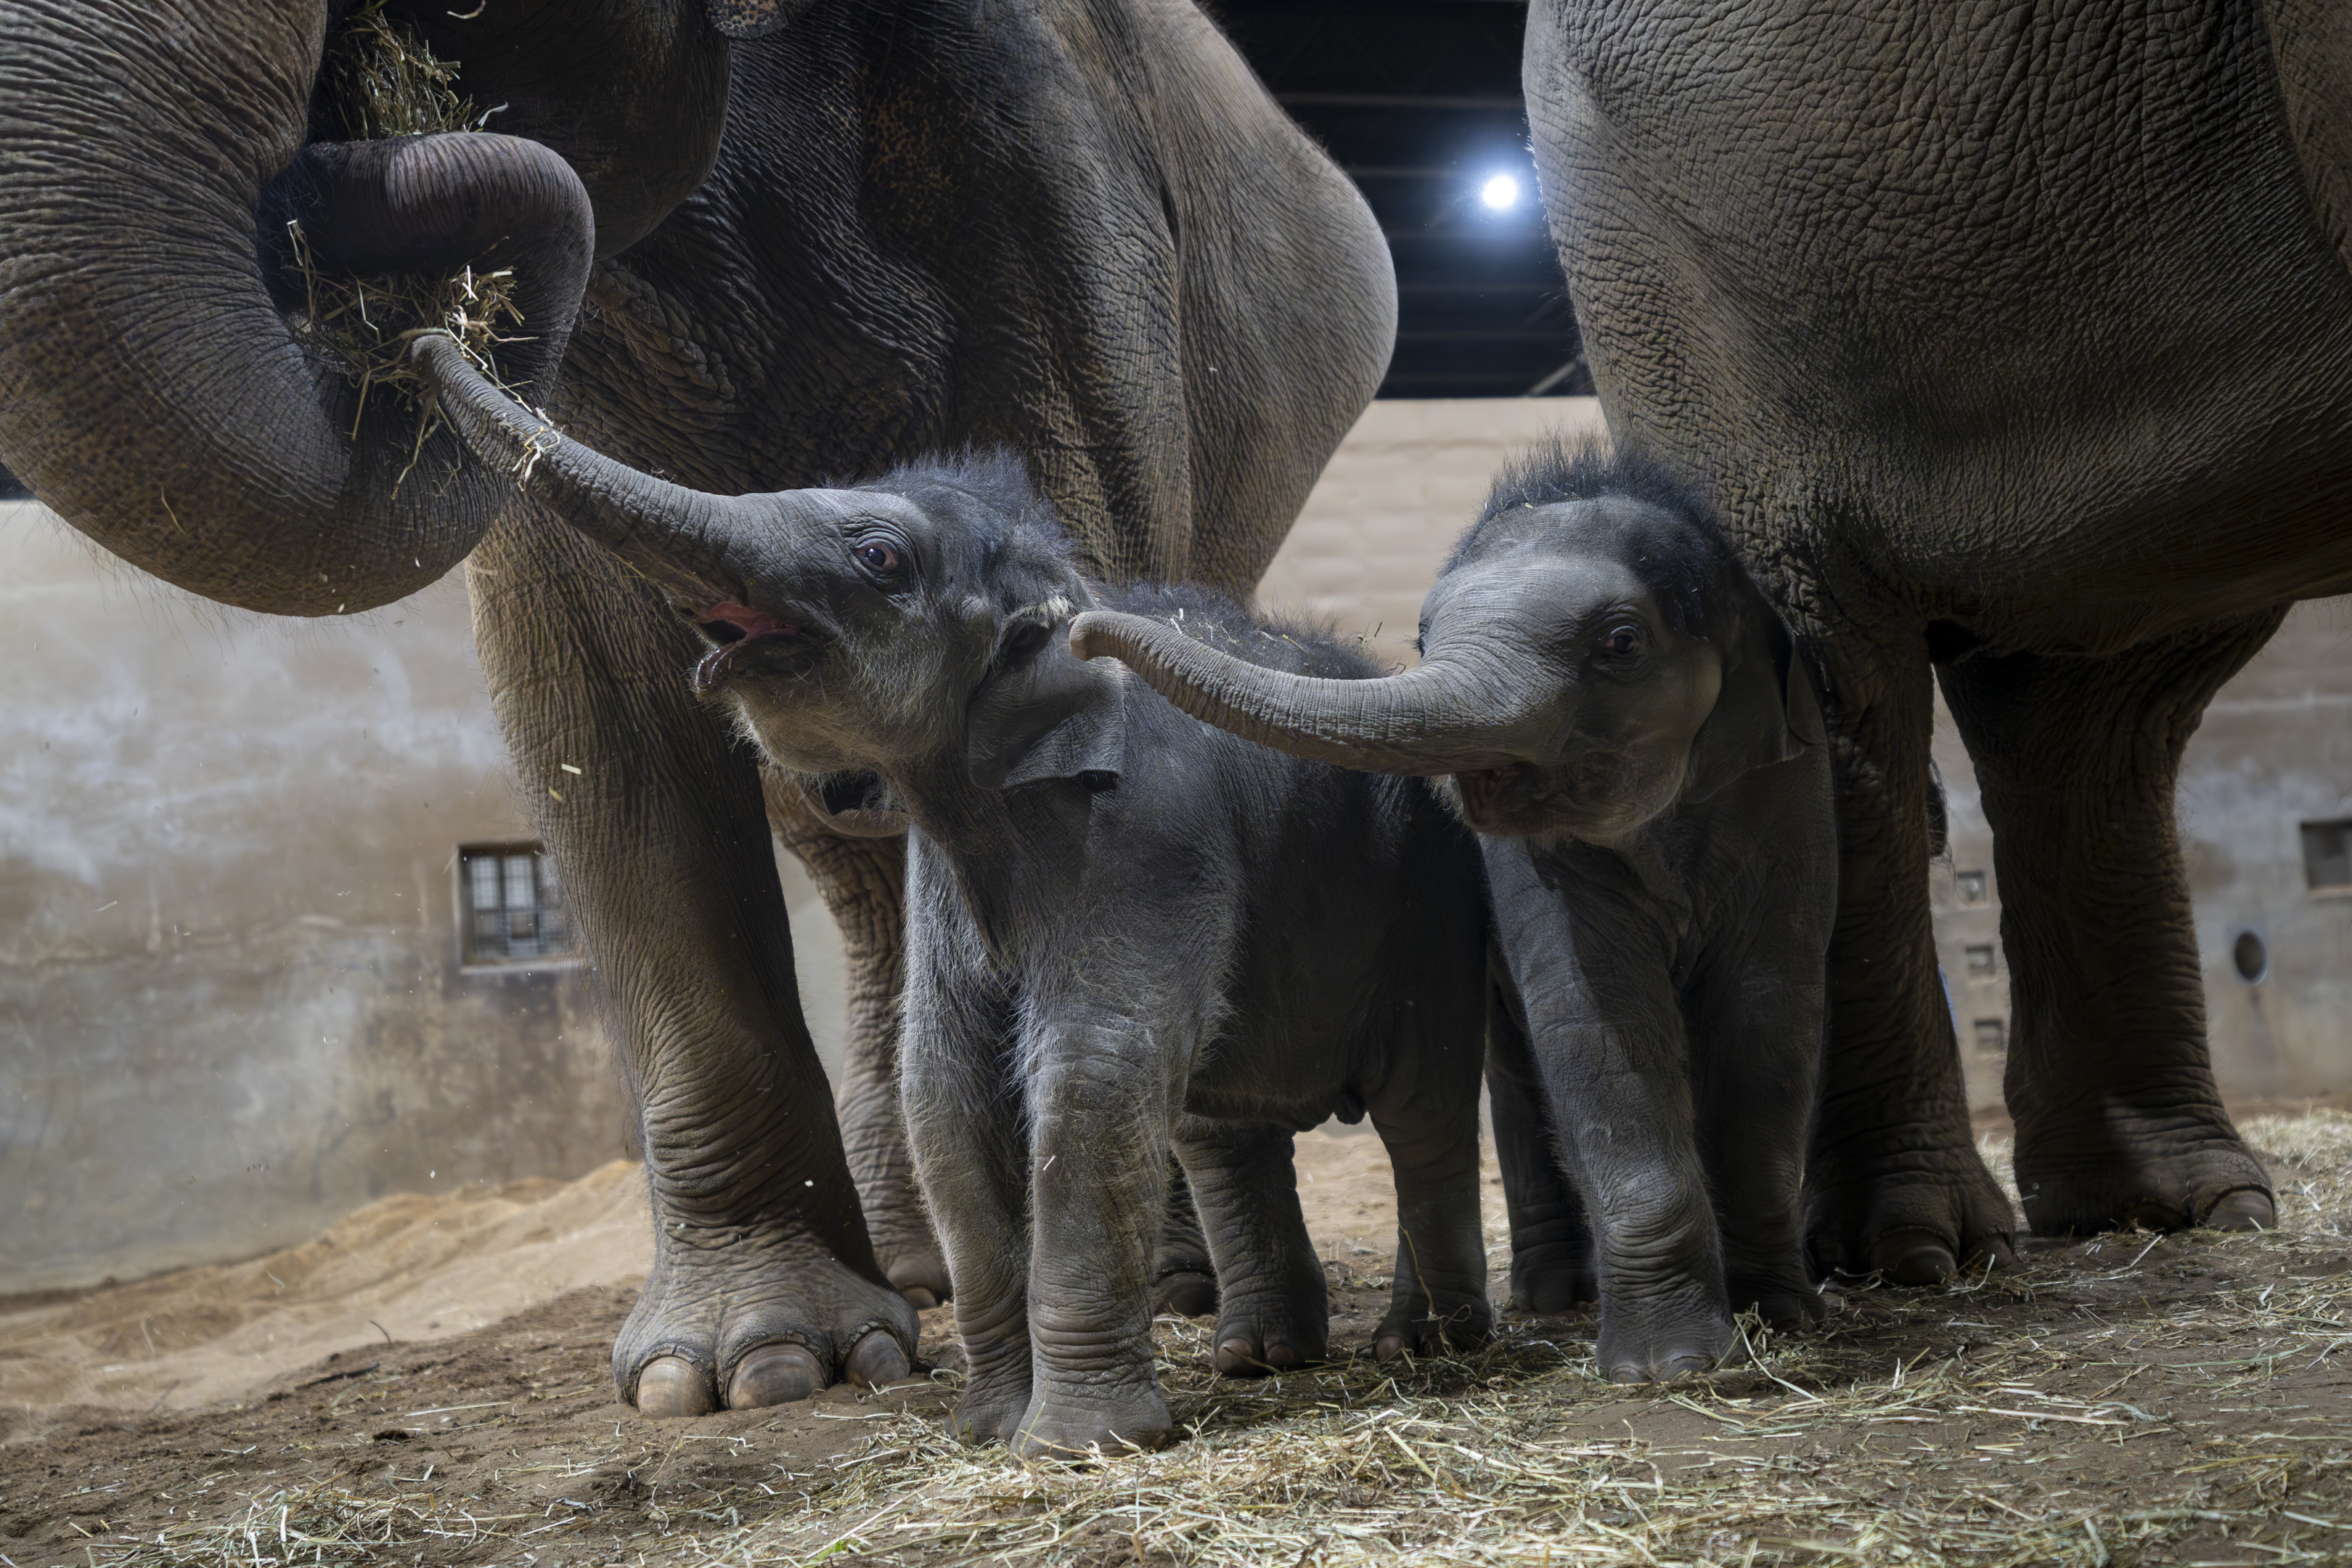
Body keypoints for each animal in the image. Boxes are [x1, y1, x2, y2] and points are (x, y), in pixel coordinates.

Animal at [0, 0, 1394, 1412]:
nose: (413, 307)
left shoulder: (1046, 167)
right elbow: (595, 711)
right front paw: (747, 1372)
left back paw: (1138, 1280)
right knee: (852, 851)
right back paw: (918, 1271)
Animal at [413, 334, 1497, 1455]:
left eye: (881, 559)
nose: (424, 343)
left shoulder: (1151, 833)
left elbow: (1094, 1070)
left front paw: (1075, 1447)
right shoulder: (947, 867)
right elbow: (945, 1089)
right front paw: (988, 1431)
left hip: (1429, 908)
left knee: (1420, 1108)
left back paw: (1429, 1344)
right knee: (1224, 1128)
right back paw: (1261, 1356)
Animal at [1072, 436, 1838, 1382]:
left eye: (1621, 643)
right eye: (1423, 639)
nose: (1079, 632)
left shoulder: (1790, 796)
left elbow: (1769, 1013)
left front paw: (1780, 1316)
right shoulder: (1533, 863)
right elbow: (1594, 1017)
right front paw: (1671, 1366)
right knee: (1510, 1061)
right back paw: (1537, 1300)